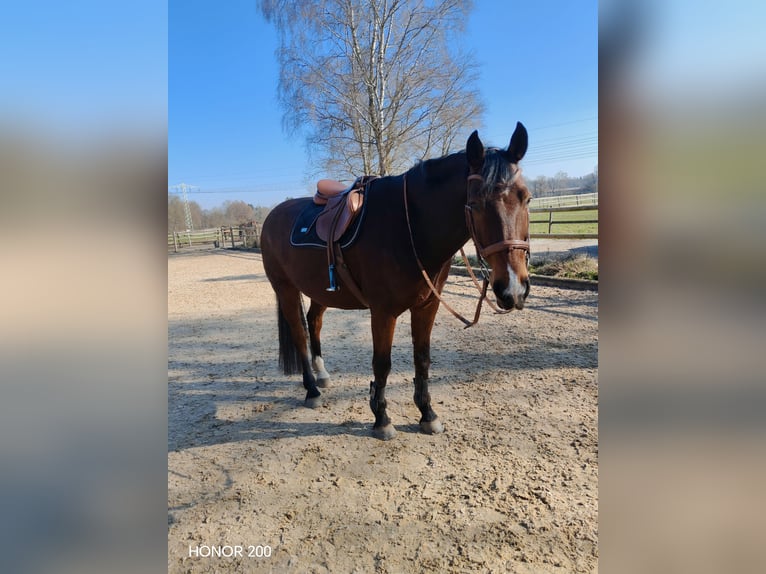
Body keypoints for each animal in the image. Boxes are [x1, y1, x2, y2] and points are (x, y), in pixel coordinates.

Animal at [260, 123, 531, 440]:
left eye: (526, 198)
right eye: (474, 204)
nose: (513, 288)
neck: (408, 226)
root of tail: (272, 216)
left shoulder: (426, 307)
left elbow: (422, 358)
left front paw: (427, 414)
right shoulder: (383, 312)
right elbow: (382, 364)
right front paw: (381, 419)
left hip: (321, 292)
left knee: (314, 322)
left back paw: (322, 375)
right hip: (286, 289)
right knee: (299, 334)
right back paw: (312, 390)